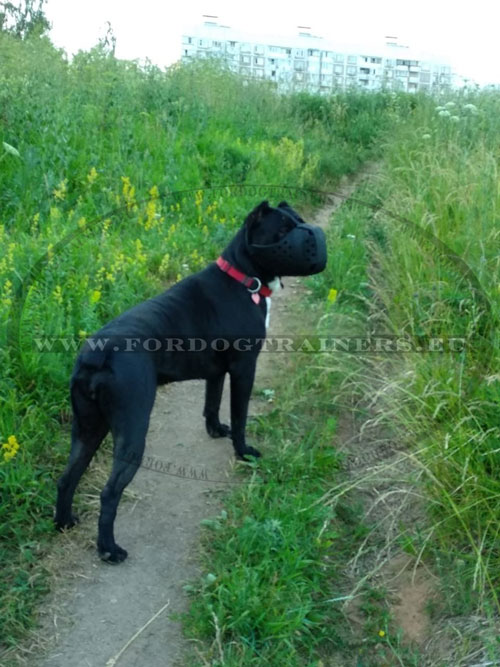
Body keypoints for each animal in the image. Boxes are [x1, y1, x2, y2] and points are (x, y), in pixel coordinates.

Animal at [54, 200, 326, 564]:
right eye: (282, 230)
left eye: (298, 220)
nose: (311, 235)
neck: (245, 278)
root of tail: (96, 356)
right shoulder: (244, 369)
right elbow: (240, 415)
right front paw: (244, 451)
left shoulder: (216, 372)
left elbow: (212, 403)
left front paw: (216, 430)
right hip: (132, 428)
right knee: (110, 493)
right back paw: (109, 549)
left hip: (87, 428)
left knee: (67, 478)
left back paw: (64, 522)